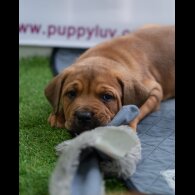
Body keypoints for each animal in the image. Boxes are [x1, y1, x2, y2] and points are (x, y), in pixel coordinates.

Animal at [44, 25, 175, 133]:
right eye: (71, 93)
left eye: (107, 96)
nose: (84, 116)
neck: (105, 56)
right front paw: (59, 115)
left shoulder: (154, 90)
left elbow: (138, 108)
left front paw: (126, 125)